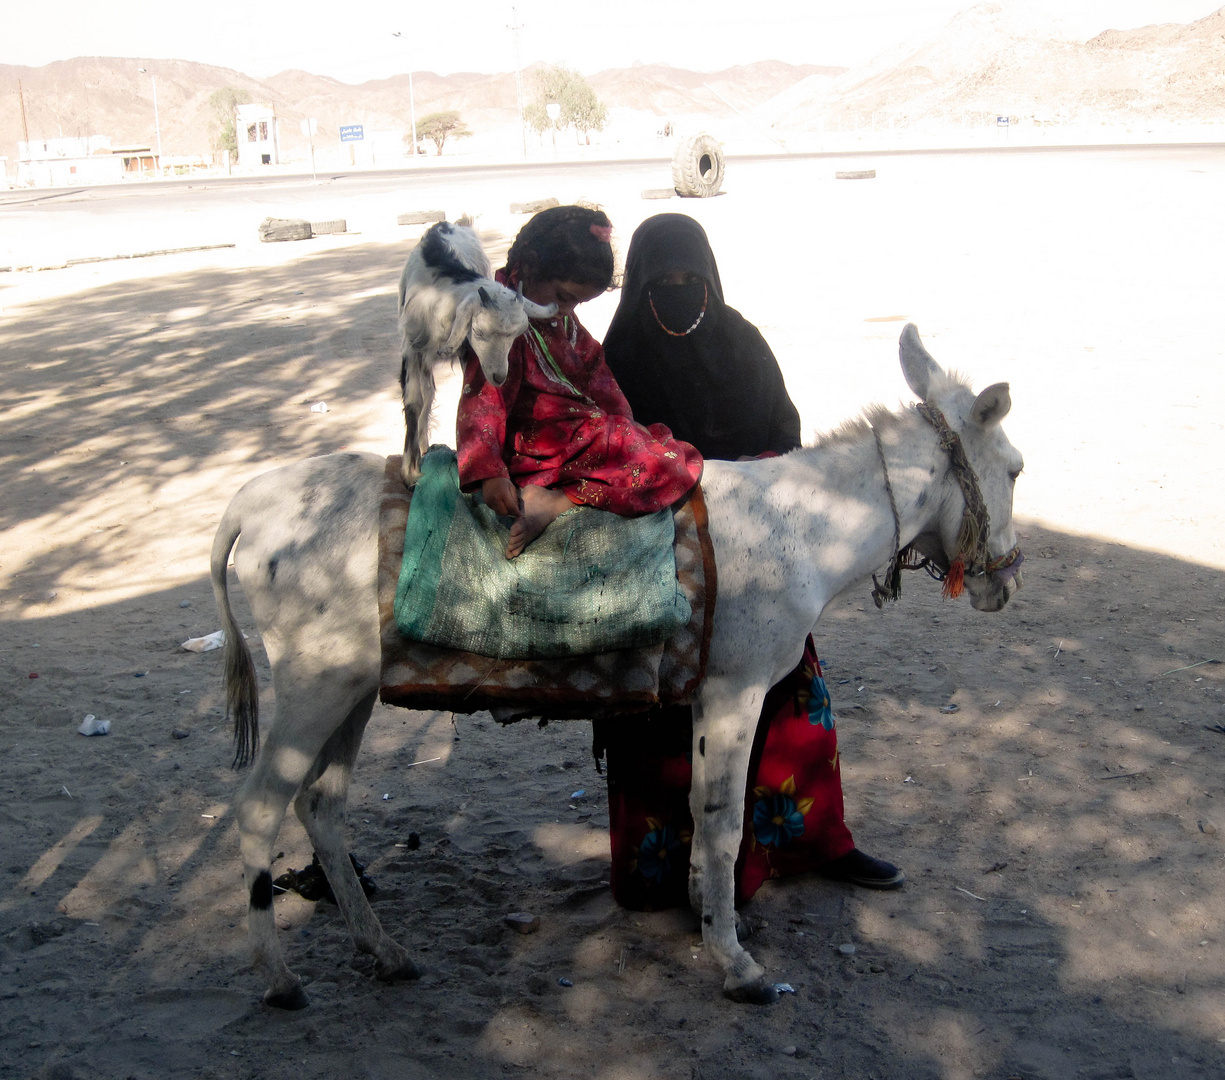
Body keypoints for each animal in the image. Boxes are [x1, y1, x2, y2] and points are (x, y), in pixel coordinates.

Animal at [396, 222, 556, 484]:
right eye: (479, 332)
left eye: (515, 336)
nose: (499, 377)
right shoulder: (413, 348)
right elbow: (414, 401)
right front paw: (410, 471)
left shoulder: (464, 350)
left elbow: (467, 393)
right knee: (427, 394)